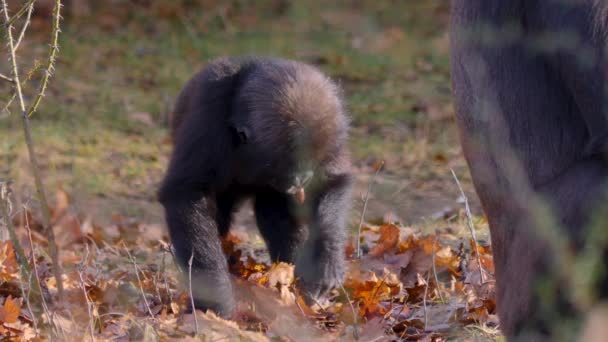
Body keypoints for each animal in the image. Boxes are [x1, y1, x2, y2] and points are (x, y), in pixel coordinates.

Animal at [159, 56, 354, 318]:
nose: (301, 179)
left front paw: (324, 259)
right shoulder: (209, 114)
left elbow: (332, 183)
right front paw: (216, 299)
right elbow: (186, 194)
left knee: (275, 216)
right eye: (285, 164)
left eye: (309, 161)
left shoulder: (332, 131)